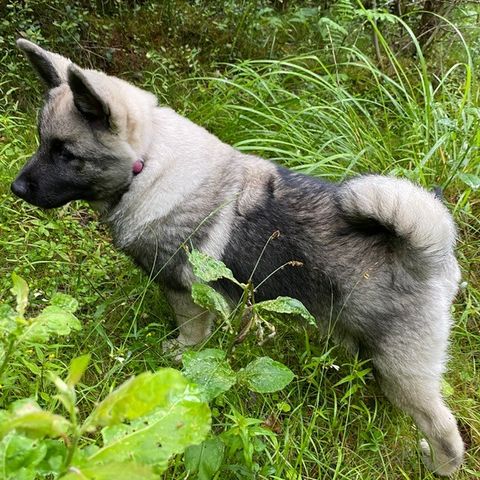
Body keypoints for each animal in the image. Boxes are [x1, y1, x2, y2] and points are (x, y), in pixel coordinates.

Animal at [11, 39, 464, 474]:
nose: (15, 188)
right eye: (42, 143)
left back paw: (439, 464)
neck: (149, 164)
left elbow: (191, 335)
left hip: (404, 367)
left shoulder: (186, 292)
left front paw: (179, 352)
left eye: (66, 154)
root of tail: (428, 252)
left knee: (444, 429)